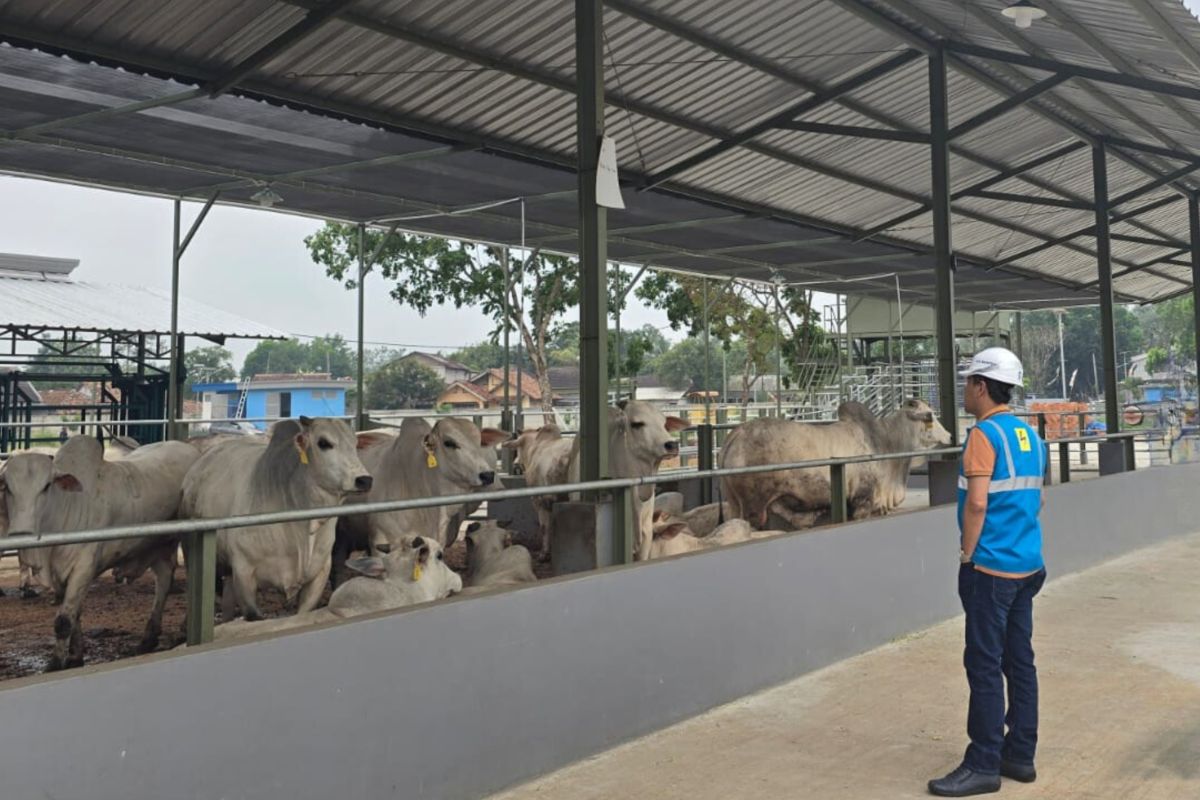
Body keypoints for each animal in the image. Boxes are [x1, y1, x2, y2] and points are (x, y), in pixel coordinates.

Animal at [0, 434, 199, 671]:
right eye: (7, 487)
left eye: (46, 486)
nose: (21, 533)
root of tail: (190, 448)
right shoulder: (61, 576)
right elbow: (74, 615)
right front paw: (76, 656)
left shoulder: (83, 568)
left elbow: (63, 621)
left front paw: (56, 663)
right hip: (155, 545)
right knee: (164, 579)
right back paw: (148, 638)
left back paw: (183, 629)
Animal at [178, 419, 369, 623]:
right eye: (323, 443)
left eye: (354, 443)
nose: (364, 479)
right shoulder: (244, 572)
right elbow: (253, 616)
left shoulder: (319, 573)